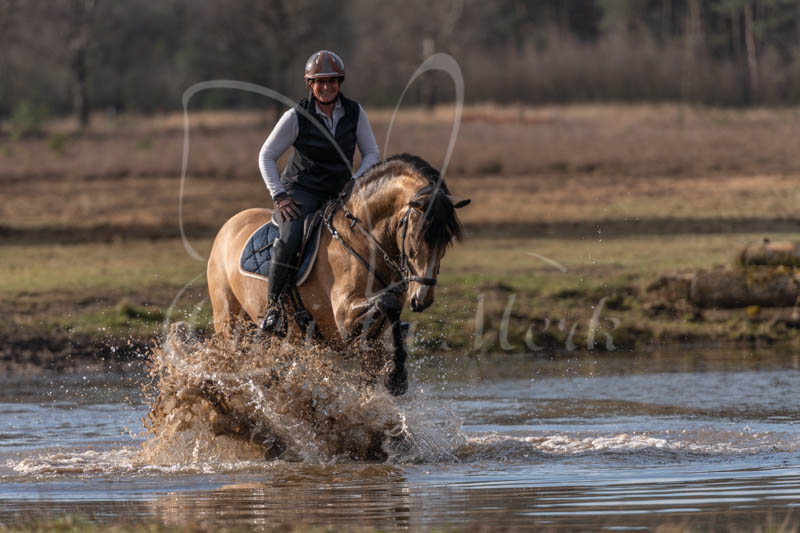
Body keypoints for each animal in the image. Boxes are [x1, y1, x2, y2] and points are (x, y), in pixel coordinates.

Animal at [207, 154, 470, 396]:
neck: (364, 240)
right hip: (230, 324)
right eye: (417, 237)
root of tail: (230, 224)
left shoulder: (371, 343)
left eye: (446, 239)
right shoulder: (344, 317)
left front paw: (396, 377)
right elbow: (388, 302)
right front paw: (396, 376)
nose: (422, 298)